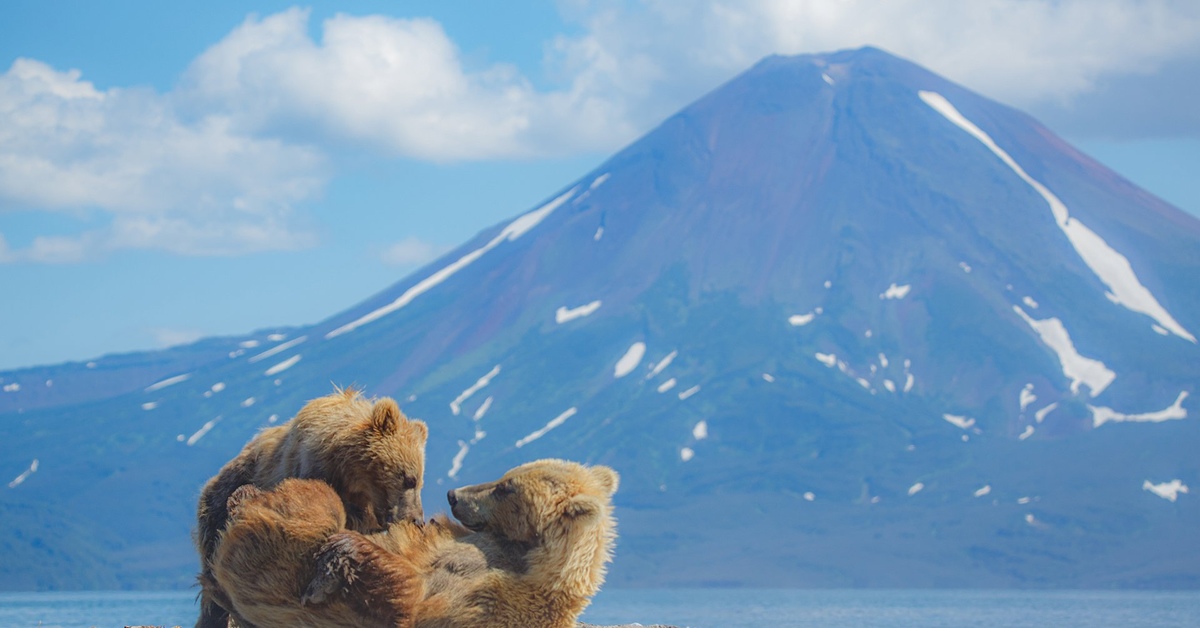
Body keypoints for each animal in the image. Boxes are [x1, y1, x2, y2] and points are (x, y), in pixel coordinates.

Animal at [211, 456, 619, 628]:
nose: (454, 494)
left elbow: (412, 600)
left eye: (505, 487)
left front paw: (339, 554)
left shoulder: (490, 602)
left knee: (315, 503)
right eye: (507, 475)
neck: (522, 555)